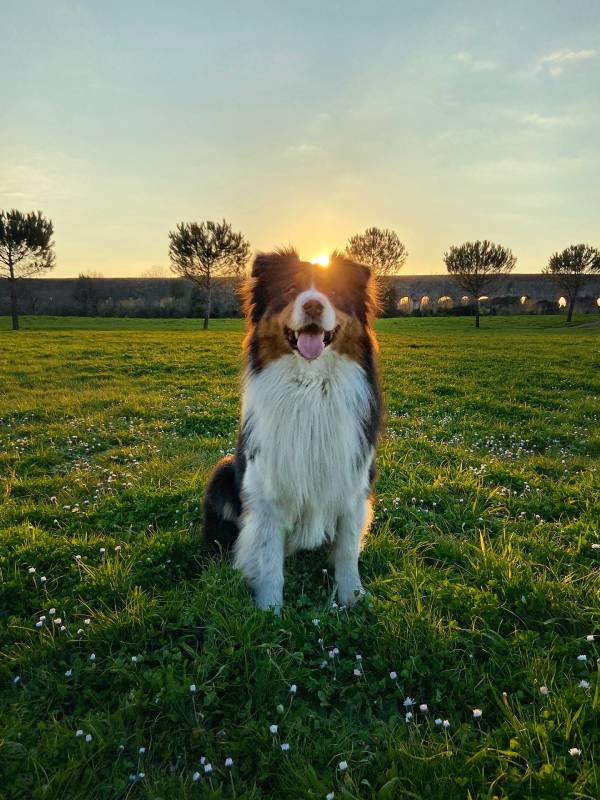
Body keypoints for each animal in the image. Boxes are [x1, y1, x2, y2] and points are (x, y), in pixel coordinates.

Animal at [204, 250, 382, 612]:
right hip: (222, 472)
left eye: (334, 291)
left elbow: (346, 552)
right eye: (290, 289)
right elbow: (269, 557)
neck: (310, 386)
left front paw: (352, 599)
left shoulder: (351, 484)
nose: (313, 305)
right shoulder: (267, 491)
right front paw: (269, 610)